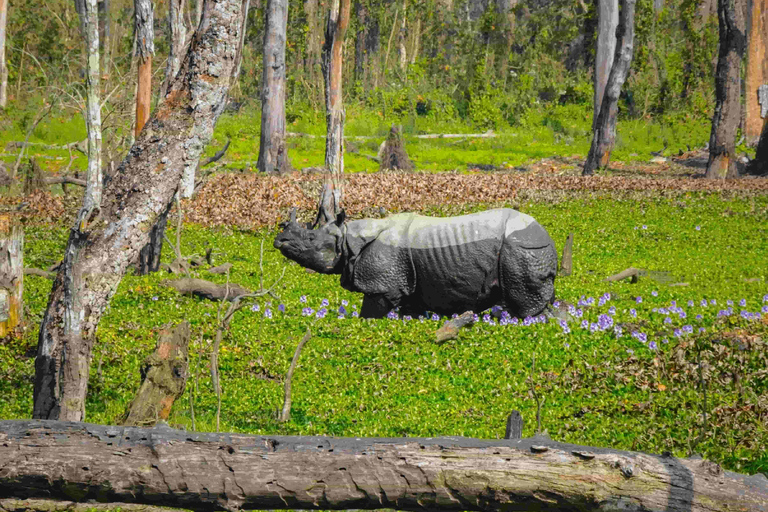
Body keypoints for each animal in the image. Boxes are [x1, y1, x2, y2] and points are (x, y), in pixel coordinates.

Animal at [276, 207, 560, 318]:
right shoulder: (410, 286)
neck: (348, 239)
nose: (279, 240)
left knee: (526, 307)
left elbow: (369, 315)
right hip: (528, 250)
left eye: (311, 238)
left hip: (520, 251)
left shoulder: (383, 287)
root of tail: (547, 237)